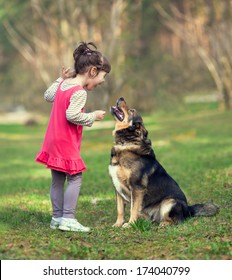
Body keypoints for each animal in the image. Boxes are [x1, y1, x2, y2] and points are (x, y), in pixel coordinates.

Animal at [108, 97, 218, 228]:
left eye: (131, 110)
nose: (121, 98)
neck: (125, 143)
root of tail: (188, 210)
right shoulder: (117, 187)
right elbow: (120, 209)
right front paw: (118, 224)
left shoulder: (137, 187)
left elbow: (133, 209)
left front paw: (130, 224)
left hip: (169, 202)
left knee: (177, 220)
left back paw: (164, 224)